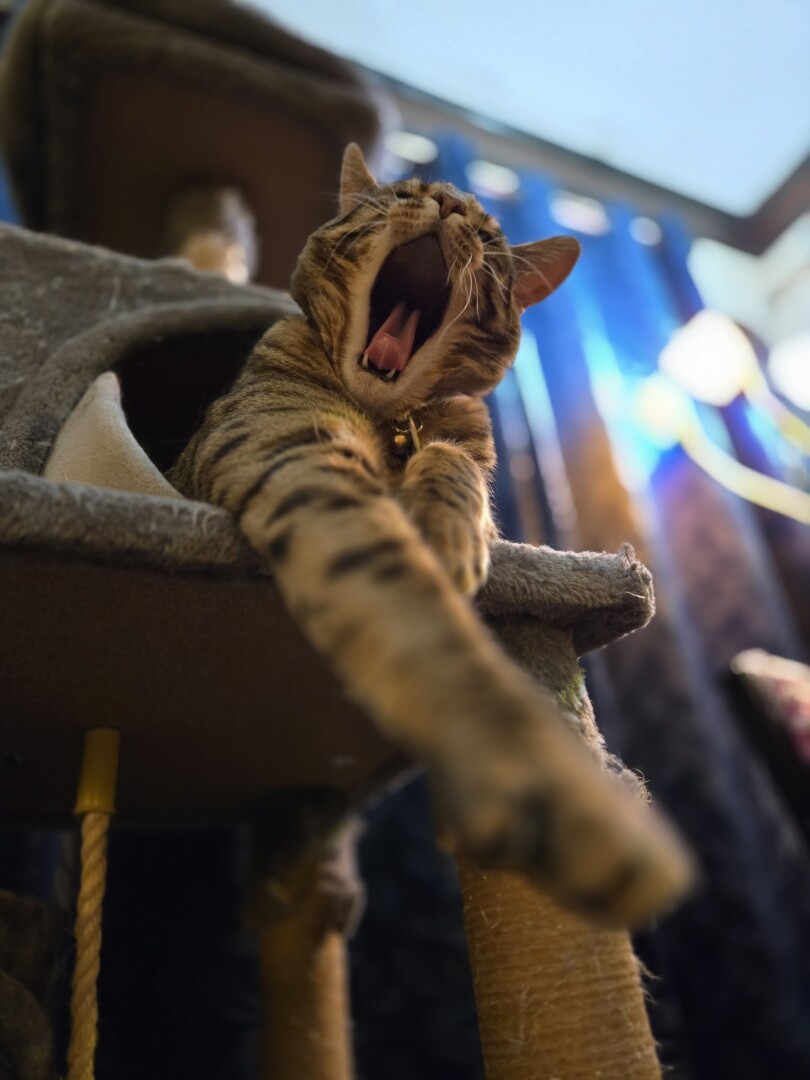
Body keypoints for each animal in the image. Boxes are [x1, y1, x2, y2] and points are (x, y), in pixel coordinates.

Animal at [171, 141, 691, 920]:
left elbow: (453, 464)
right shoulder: (294, 455)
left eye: (488, 234)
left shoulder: (463, 455)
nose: (447, 204)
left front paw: (447, 528)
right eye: (403, 193)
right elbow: (419, 620)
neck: (389, 422)